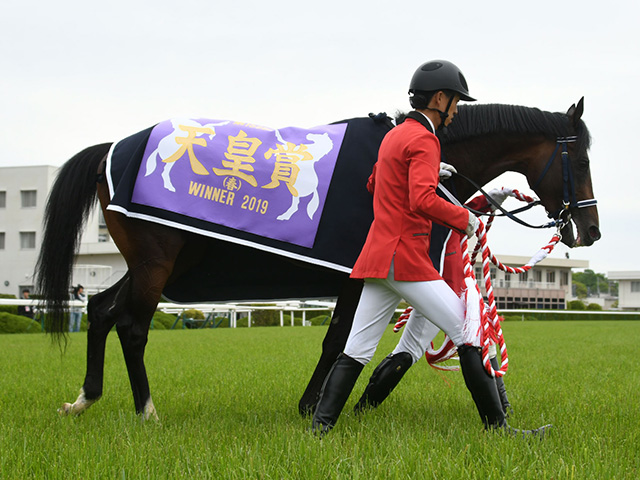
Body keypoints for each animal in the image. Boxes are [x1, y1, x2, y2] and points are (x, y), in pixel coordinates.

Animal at [36, 98, 600, 420]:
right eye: (581, 159)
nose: (590, 230)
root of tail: (115, 148)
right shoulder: (358, 275)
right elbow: (338, 342)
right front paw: (313, 406)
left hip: (157, 264)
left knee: (101, 311)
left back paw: (85, 398)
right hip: (156, 264)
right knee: (131, 327)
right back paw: (147, 411)